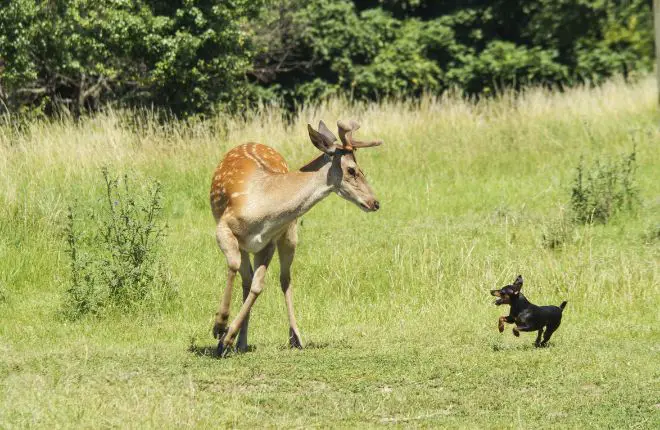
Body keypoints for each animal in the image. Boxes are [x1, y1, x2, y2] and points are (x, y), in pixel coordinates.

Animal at [206, 118, 382, 356]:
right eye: (352, 170)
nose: (375, 202)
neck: (261, 208)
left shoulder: (268, 242)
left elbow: (258, 285)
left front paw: (226, 337)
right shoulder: (224, 226)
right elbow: (235, 267)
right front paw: (219, 327)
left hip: (289, 233)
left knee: (282, 279)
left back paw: (289, 338)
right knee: (246, 277)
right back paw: (237, 339)